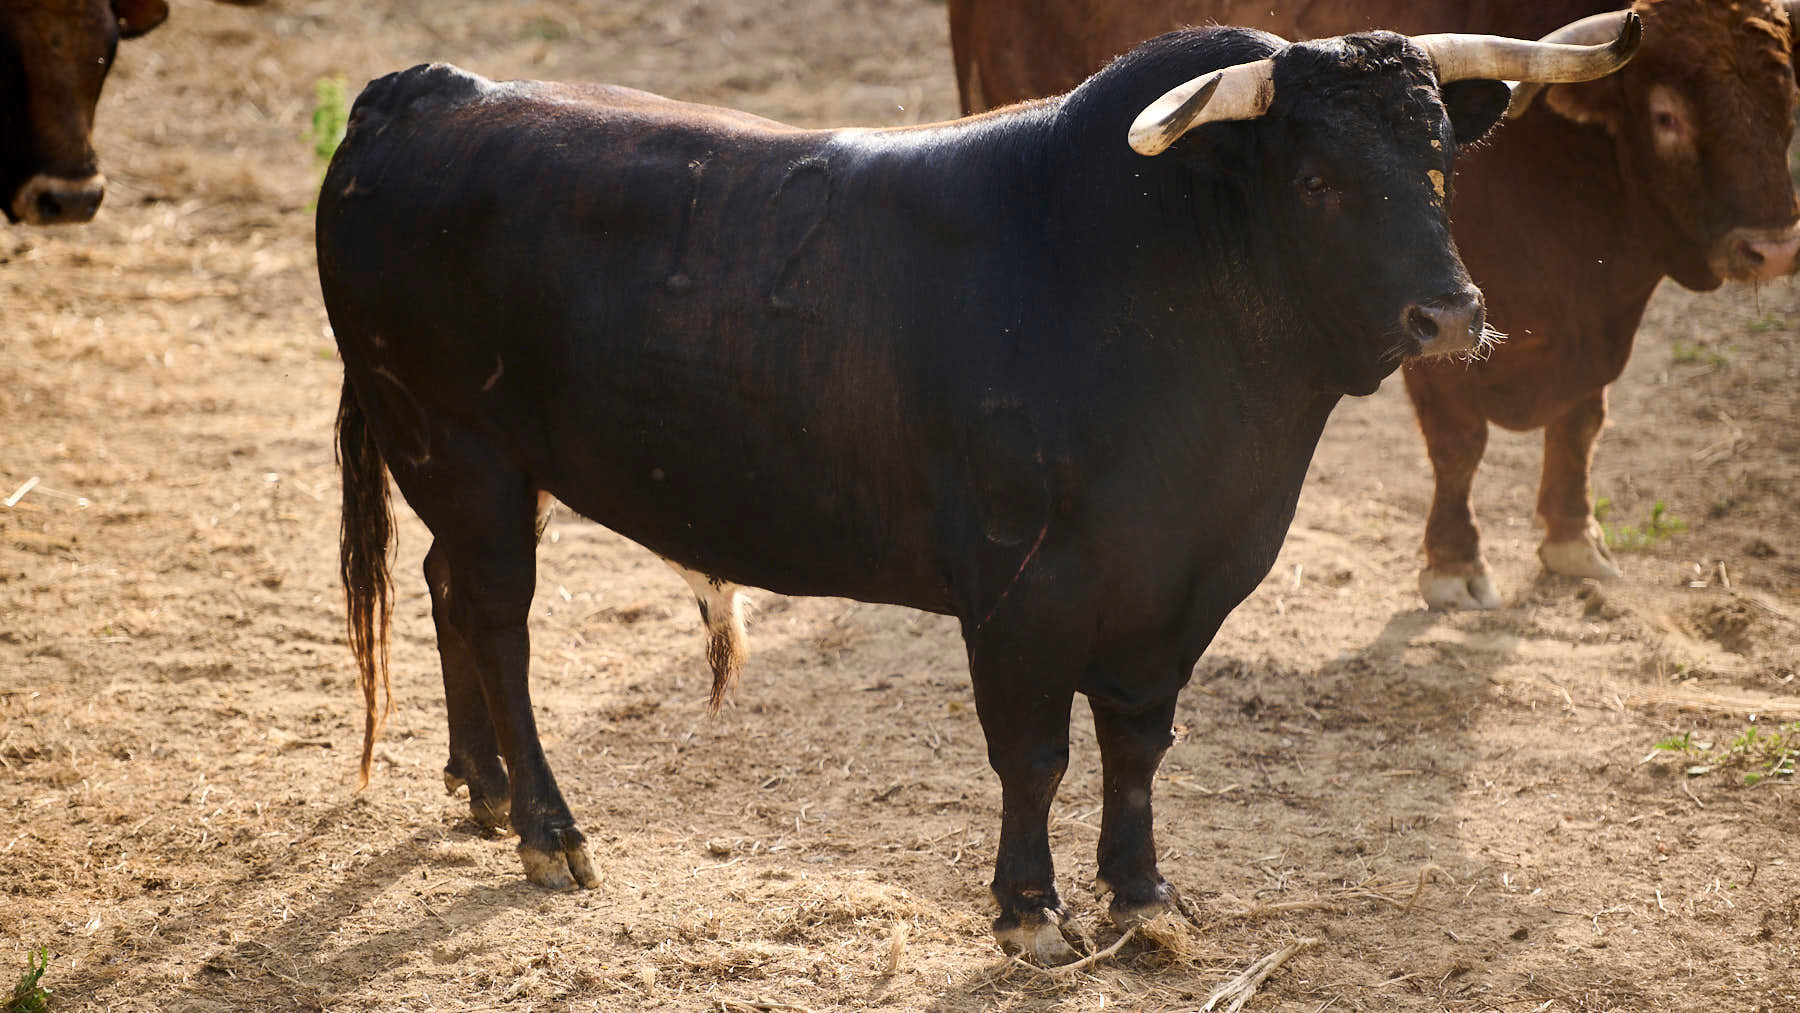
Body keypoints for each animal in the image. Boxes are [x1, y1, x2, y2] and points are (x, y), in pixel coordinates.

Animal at [320, 21, 1620, 957]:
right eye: (1313, 180)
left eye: (1440, 163)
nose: (1449, 314)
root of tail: (426, 91)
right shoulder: (1023, 590)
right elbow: (1035, 752)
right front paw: (1031, 911)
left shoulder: (1182, 584)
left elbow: (1139, 742)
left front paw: (1144, 897)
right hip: (460, 447)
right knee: (498, 619)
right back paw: (548, 829)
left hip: (474, 467)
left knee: (446, 591)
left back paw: (483, 790)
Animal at [950, 0, 1792, 608]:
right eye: (1666, 115)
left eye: (1445, 158)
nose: (1775, 246)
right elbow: (1459, 442)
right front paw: (1455, 565)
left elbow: (1582, 421)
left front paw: (1574, 541)